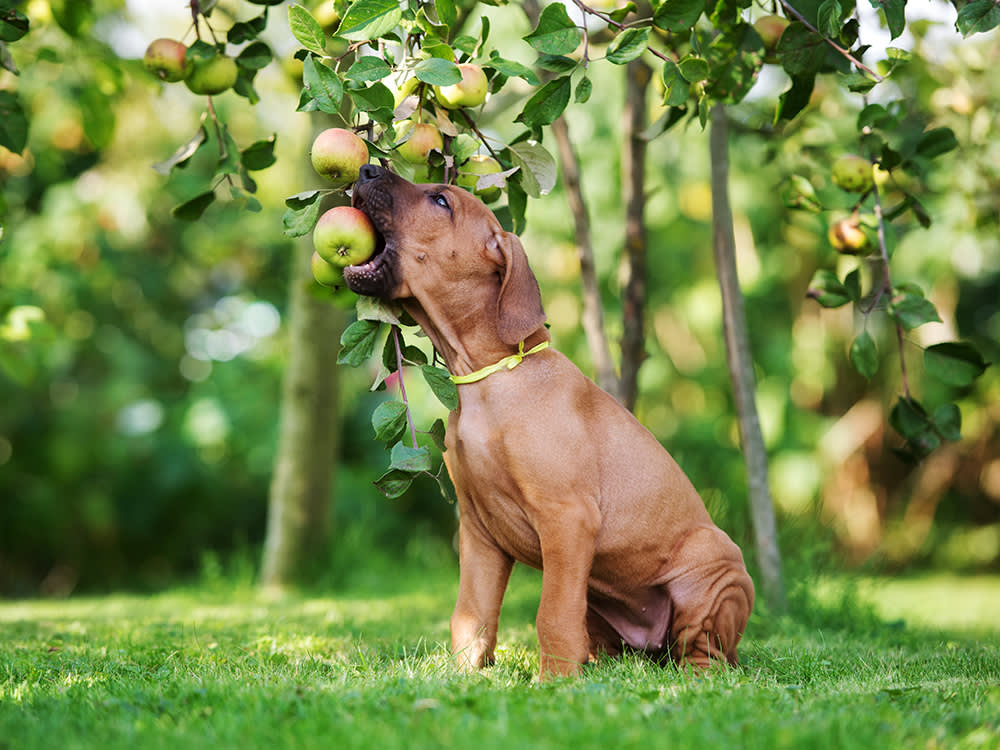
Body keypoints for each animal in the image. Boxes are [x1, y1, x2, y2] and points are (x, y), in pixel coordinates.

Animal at [344, 166, 752, 680]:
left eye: (441, 201)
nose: (366, 169)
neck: (490, 379)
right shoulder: (478, 531)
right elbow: (471, 613)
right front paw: (463, 675)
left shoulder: (567, 519)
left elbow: (552, 614)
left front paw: (553, 681)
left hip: (714, 571)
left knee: (706, 651)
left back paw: (694, 676)